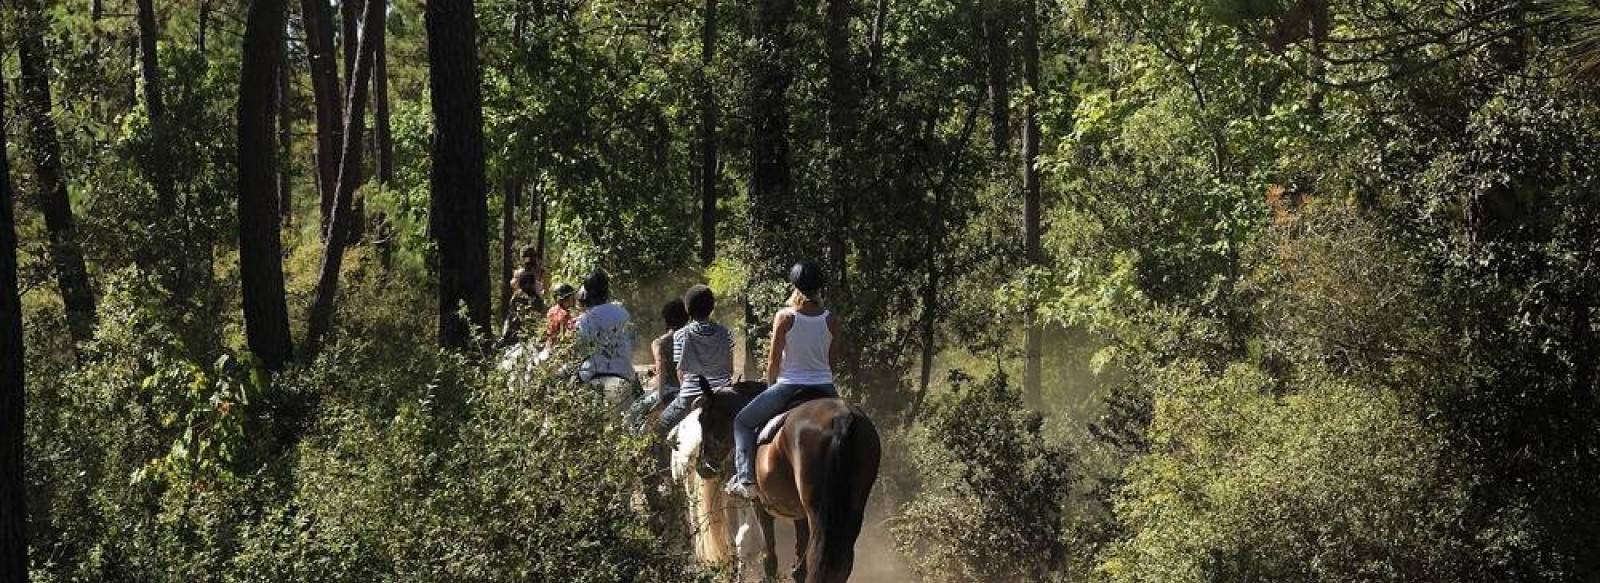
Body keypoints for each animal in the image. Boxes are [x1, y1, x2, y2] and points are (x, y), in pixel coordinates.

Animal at [697, 382, 883, 583]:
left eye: (702, 419)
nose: (703, 466)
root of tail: (841, 420)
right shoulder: (799, 514)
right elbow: (798, 564)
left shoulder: (761, 507)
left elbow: (770, 558)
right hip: (851, 511)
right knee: (841, 562)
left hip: (817, 512)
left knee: (815, 557)